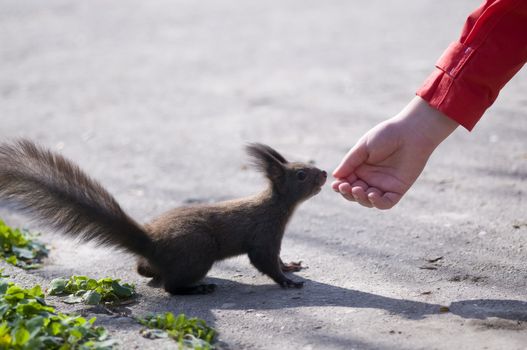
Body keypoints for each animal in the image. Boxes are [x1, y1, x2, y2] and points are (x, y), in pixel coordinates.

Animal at [0, 141, 328, 294]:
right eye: (301, 174)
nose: (324, 173)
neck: (275, 205)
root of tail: (152, 244)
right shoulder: (264, 234)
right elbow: (264, 261)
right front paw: (287, 281)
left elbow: (277, 259)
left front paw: (290, 266)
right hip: (199, 250)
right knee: (171, 287)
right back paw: (199, 288)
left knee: (146, 271)